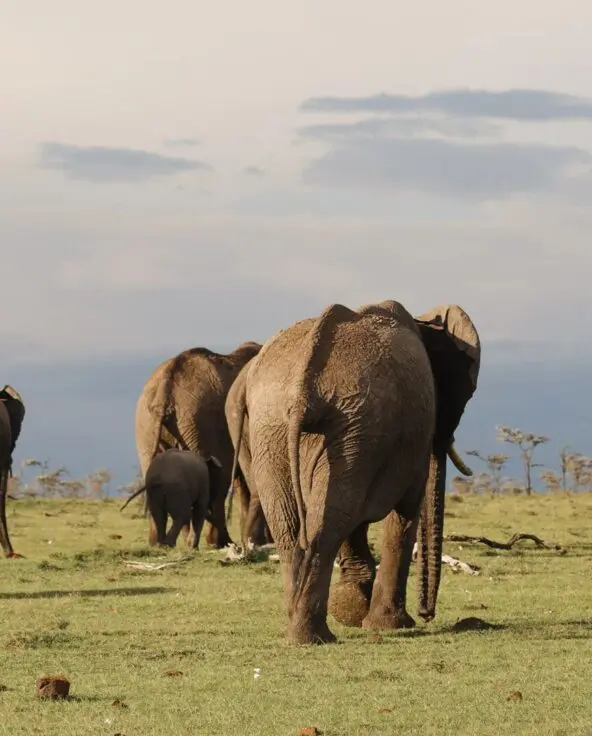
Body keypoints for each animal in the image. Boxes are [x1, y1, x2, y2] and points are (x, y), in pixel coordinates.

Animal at [134, 341, 261, 549]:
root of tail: (165, 390)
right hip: (200, 423)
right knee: (213, 481)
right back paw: (218, 543)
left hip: (146, 425)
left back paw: (158, 544)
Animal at [227, 299, 446, 645]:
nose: (427, 615)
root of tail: (303, 389)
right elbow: (404, 511)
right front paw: (390, 625)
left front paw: (356, 612)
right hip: (351, 421)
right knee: (331, 519)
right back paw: (315, 636)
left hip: (283, 424)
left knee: (298, 523)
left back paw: (300, 634)